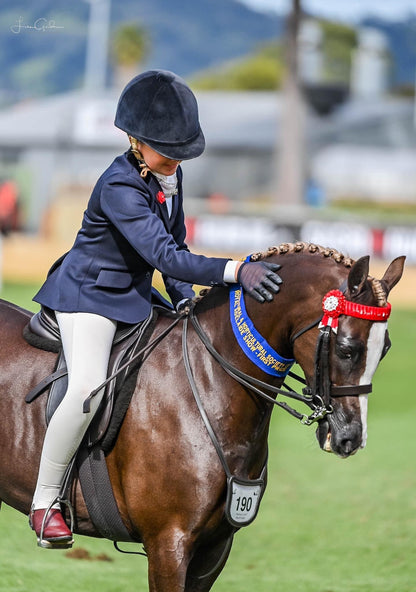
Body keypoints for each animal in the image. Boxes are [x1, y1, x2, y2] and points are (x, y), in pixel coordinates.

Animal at [0, 243, 404, 588]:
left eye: (384, 349)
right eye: (347, 349)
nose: (350, 437)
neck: (209, 381)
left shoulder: (214, 548)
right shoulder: (169, 543)